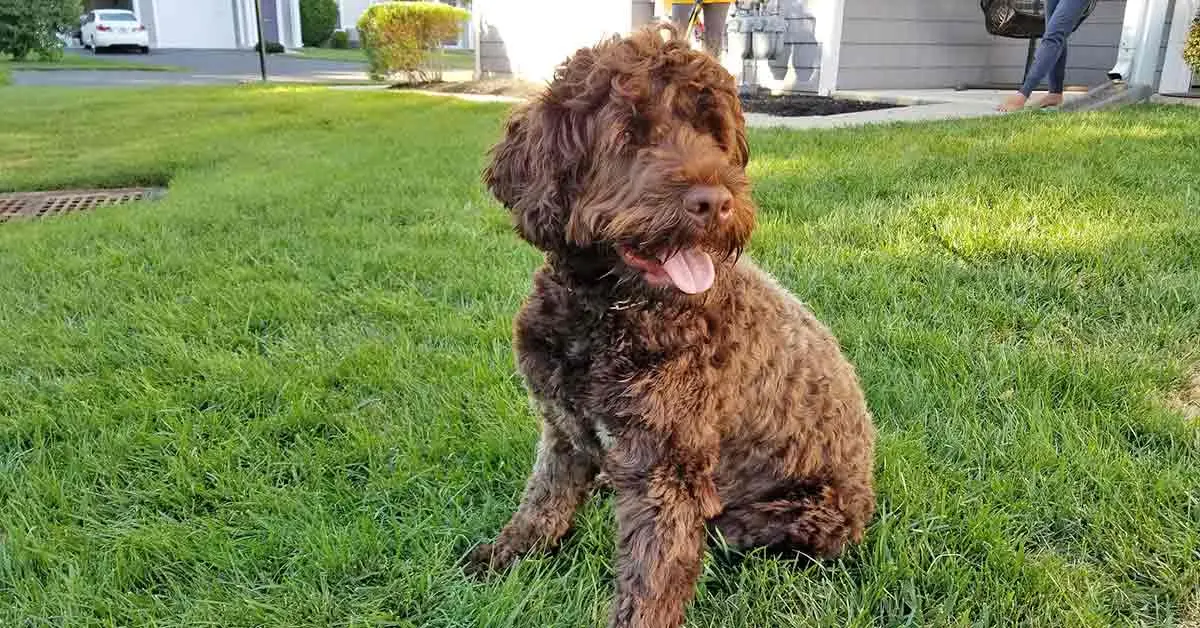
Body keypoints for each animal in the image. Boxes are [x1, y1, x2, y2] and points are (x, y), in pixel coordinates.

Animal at [465, 22, 873, 624]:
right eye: (629, 134)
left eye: (712, 131)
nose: (716, 202)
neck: (609, 312)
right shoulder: (561, 428)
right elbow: (544, 498)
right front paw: (507, 553)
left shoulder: (668, 471)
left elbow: (651, 575)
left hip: (785, 516)